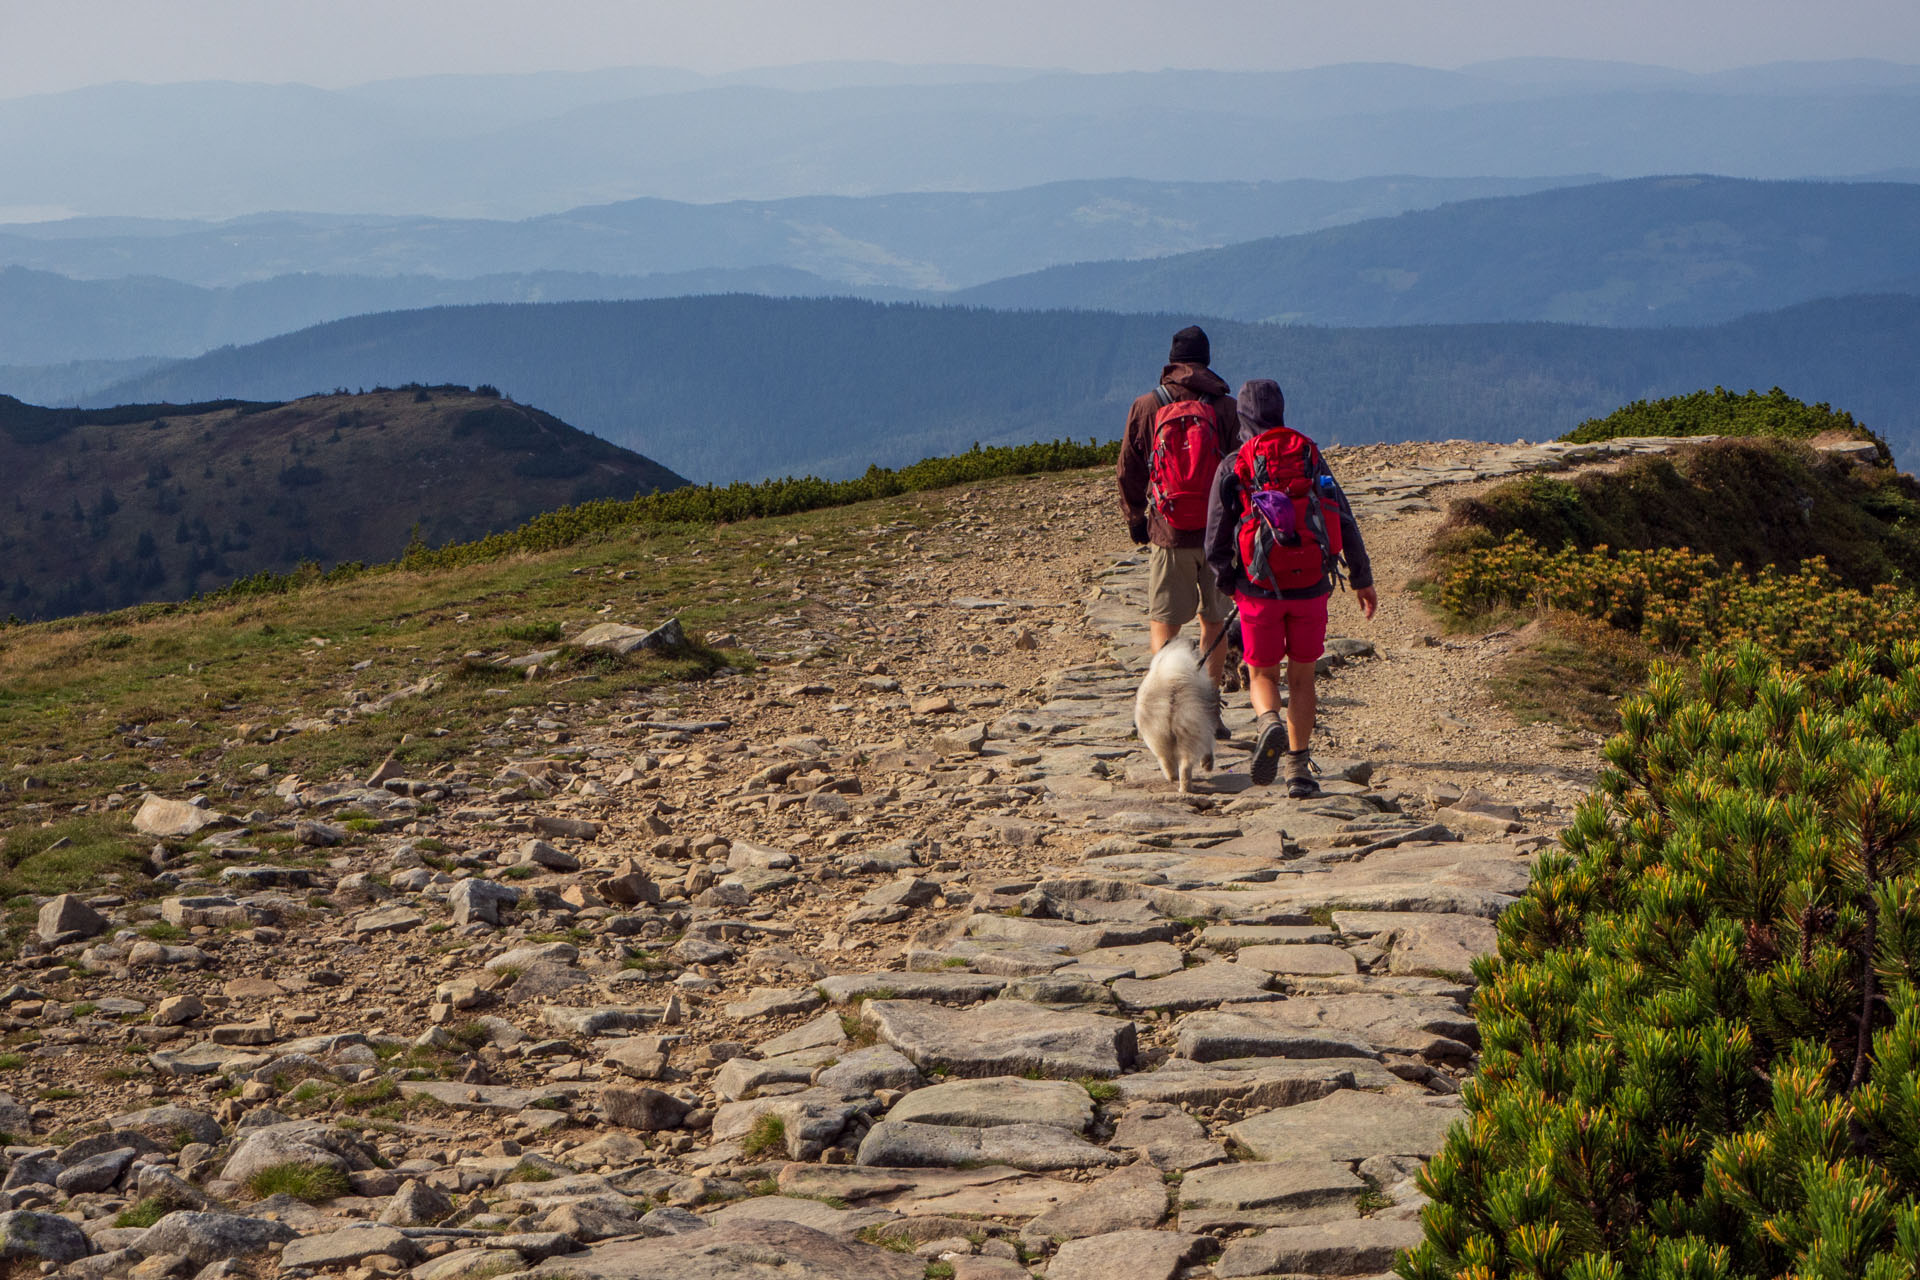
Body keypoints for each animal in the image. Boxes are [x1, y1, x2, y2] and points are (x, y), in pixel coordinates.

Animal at [1136, 640, 1213, 790]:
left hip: (1159, 738)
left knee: (1169, 763)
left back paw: (1177, 782)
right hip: (1189, 732)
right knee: (1184, 765)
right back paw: (1186, 787)